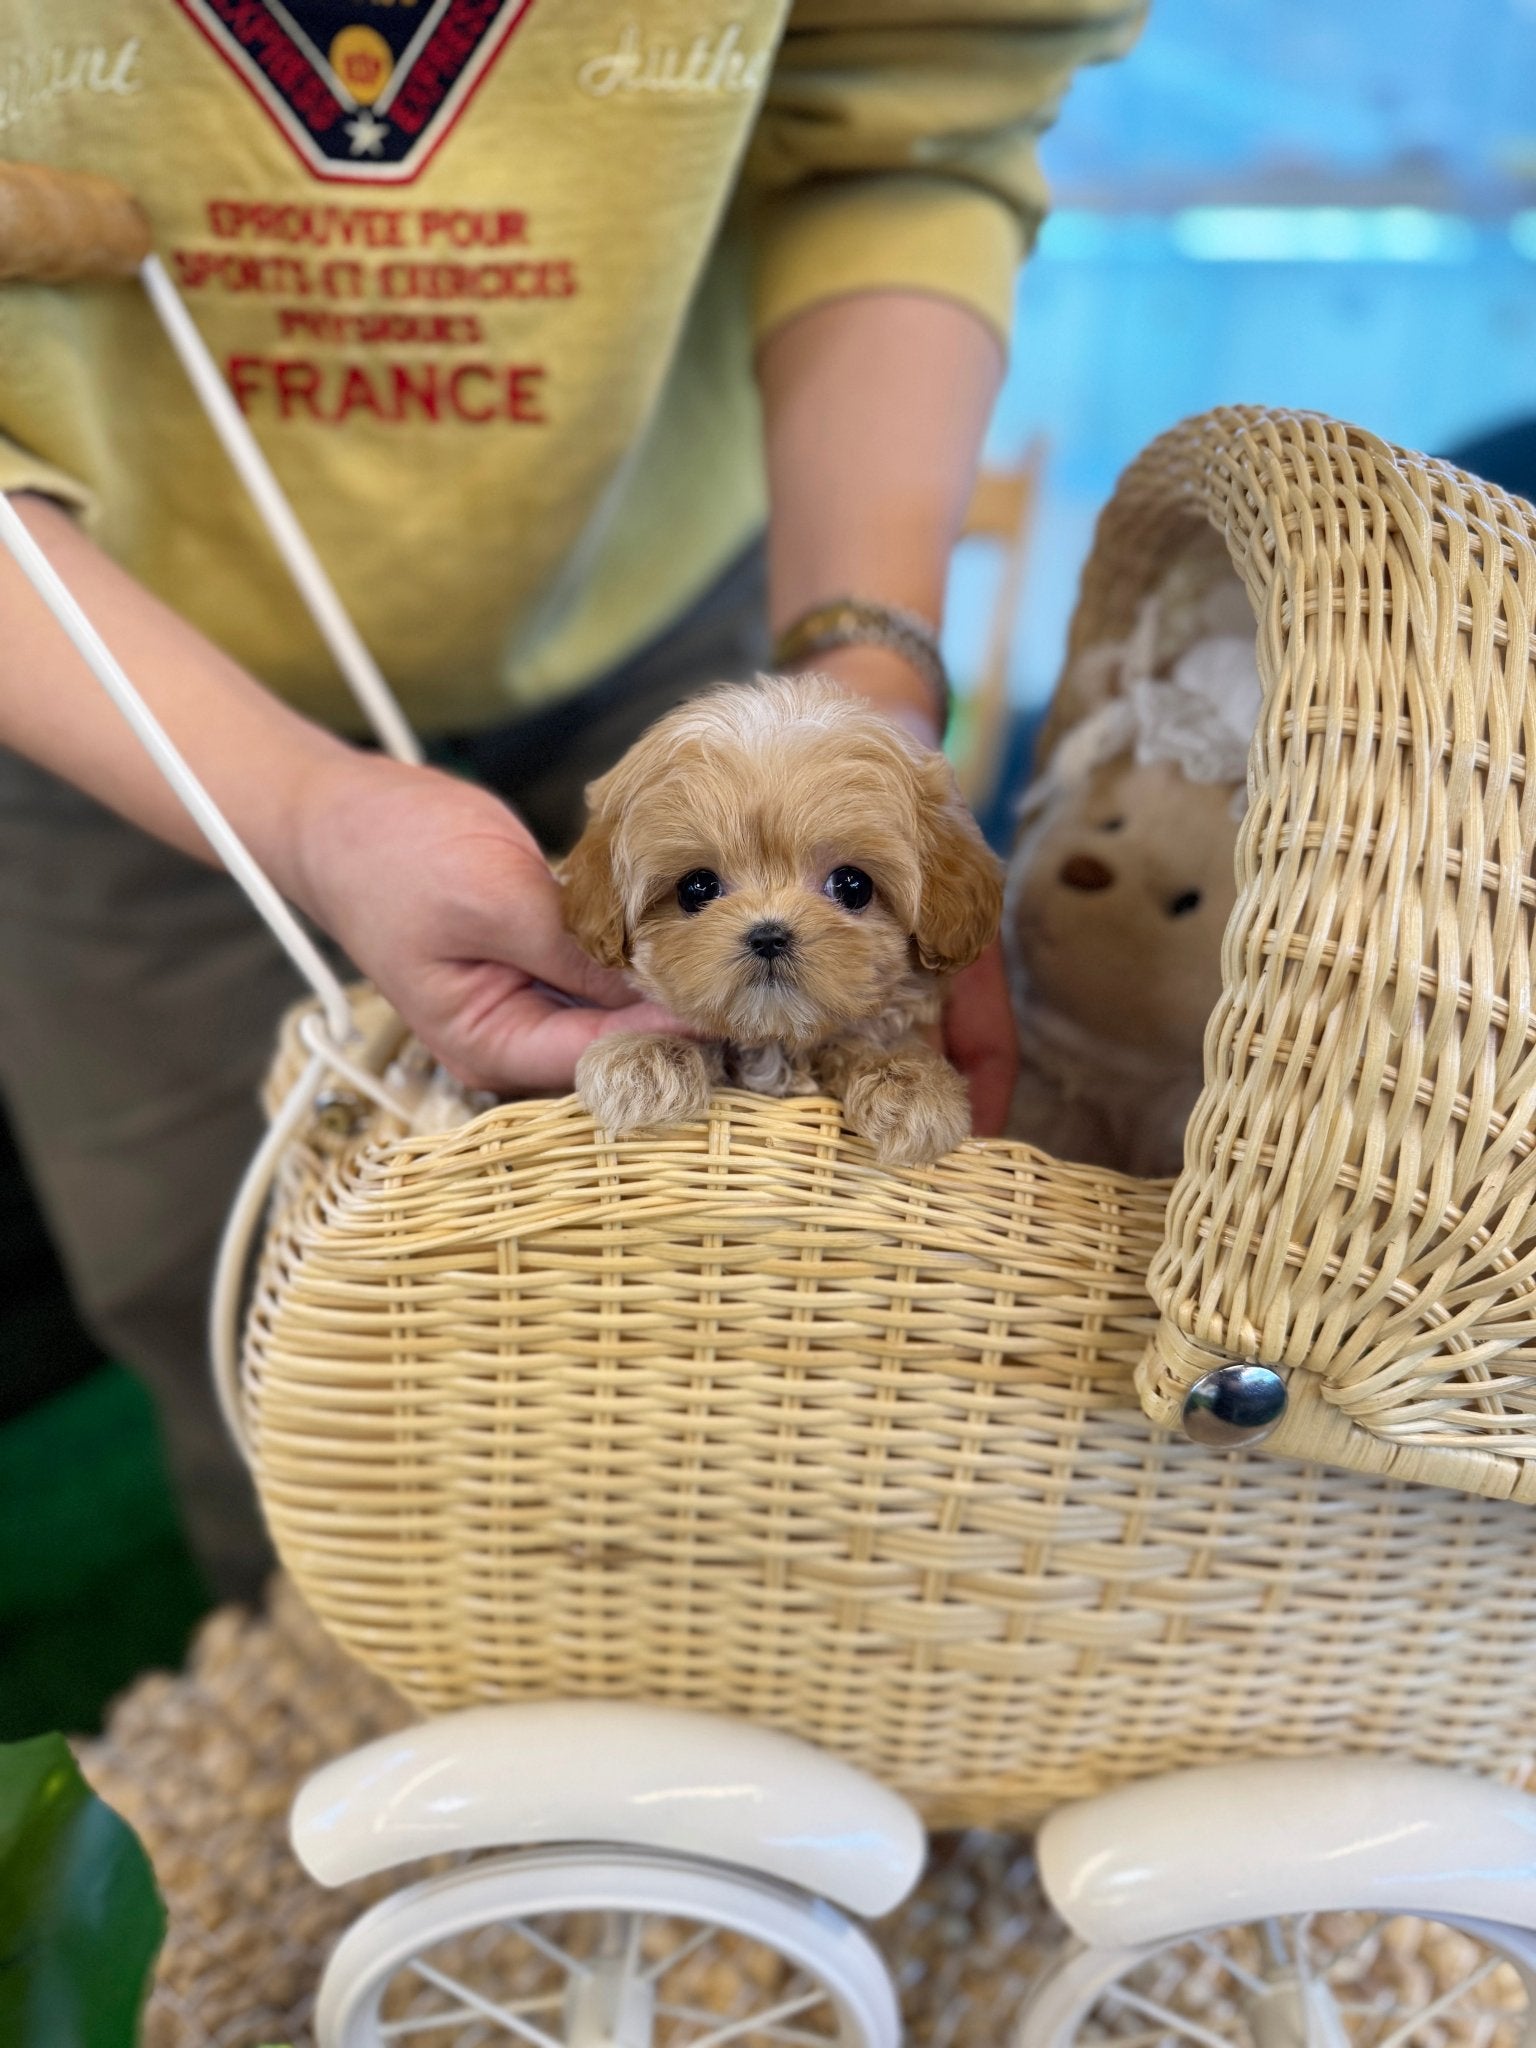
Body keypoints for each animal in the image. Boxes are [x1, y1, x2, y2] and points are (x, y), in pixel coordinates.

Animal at [561, 675, 1003, 1171]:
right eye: (696, 888)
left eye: (852, 886)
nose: (769, 936)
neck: (776, 1040)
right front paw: (643, 1063)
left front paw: (910, 1087)